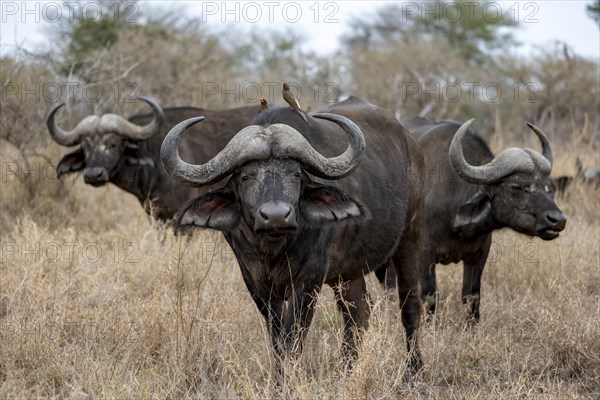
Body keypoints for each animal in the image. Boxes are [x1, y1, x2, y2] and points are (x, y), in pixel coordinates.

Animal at [159, 97, 424, 376]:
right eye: (246, 176)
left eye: (295, 174)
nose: (276, 216)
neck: (273, 250)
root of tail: (412, 145)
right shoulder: (254, 281)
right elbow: (276, 338)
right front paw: (279, 378)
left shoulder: (309, 279)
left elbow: (292, 337)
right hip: (348, 271)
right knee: (358, 311)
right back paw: (345, 369)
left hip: (411, 237)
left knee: (410, 305)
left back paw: (414, 371)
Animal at [400, 116, 564, 322]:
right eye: (516, 186)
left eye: (547, 187)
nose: (558, 220)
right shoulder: (424, 253)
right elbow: (430, 297)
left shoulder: (479, 254)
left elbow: (472, 297)